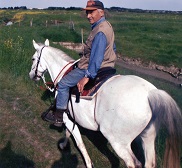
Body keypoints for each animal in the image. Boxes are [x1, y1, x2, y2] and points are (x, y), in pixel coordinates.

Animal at [29, 39, 181, 168]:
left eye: (33, 58)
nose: (31, 75)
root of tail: (150, 93)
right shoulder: (71, 116)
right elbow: (69, 132)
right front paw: (64, 144)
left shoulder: (66, 116)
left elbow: (79, 142)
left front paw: (88, 163)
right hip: (147, 137)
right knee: (149, 163)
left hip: (118, 142)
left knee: (133, 163)